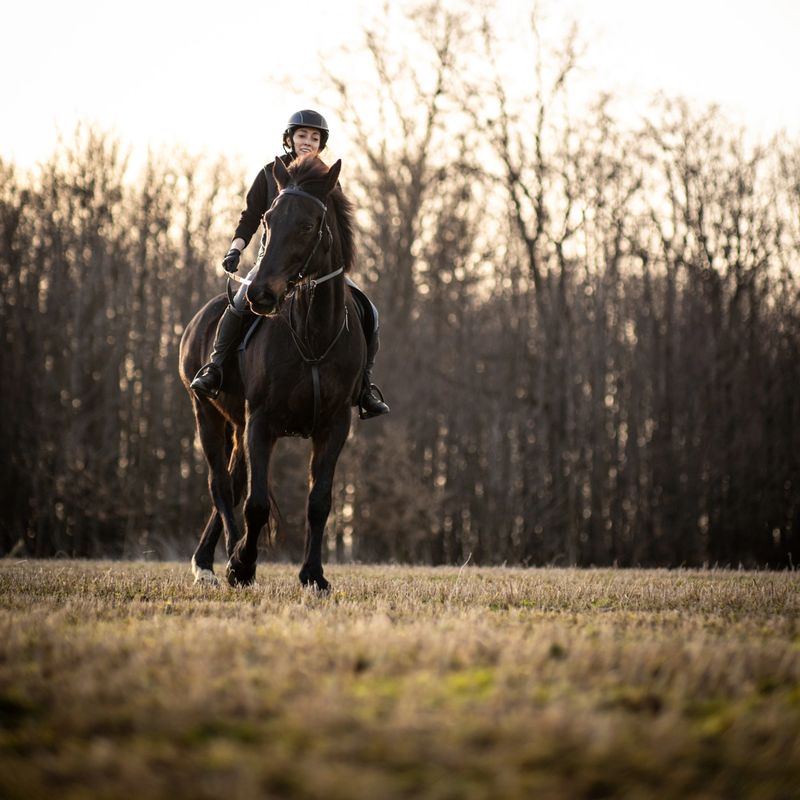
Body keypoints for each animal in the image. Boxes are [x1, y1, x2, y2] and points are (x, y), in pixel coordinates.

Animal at [178, 156, 365, 590]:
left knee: (231, 482)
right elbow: (256, 503)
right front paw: (242, 565)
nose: (259, 294)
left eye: (309, 225)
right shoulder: (260, 421)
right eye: (267, 218)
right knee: (221, 485)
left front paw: (314, 575)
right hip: (205, 412)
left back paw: (210, 559)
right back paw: (219, 560)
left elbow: (319, 502)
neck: (313, 335)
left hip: (234, 423)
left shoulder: (335, 425)